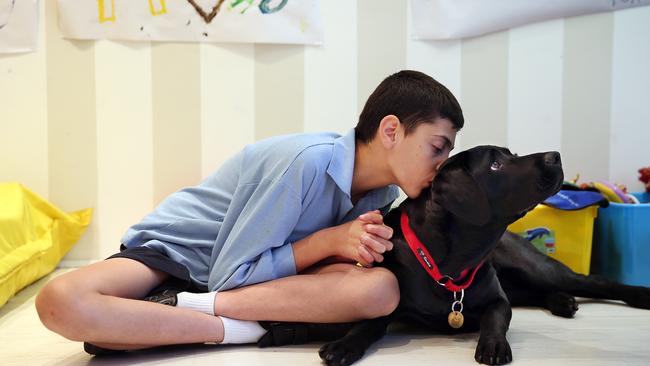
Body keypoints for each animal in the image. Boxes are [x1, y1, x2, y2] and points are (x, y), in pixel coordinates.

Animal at [258, 147, 648, 366]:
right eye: (496, 164)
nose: (556, 156)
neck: (451, 260)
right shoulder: (391, 302)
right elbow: (368, 323)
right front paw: (343, 344)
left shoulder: (496, 300)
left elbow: (495, 318)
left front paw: (493, 344)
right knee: (542, 292)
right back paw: (562, 302)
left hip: (536, 268)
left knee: (596, 281)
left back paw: (636, 294)